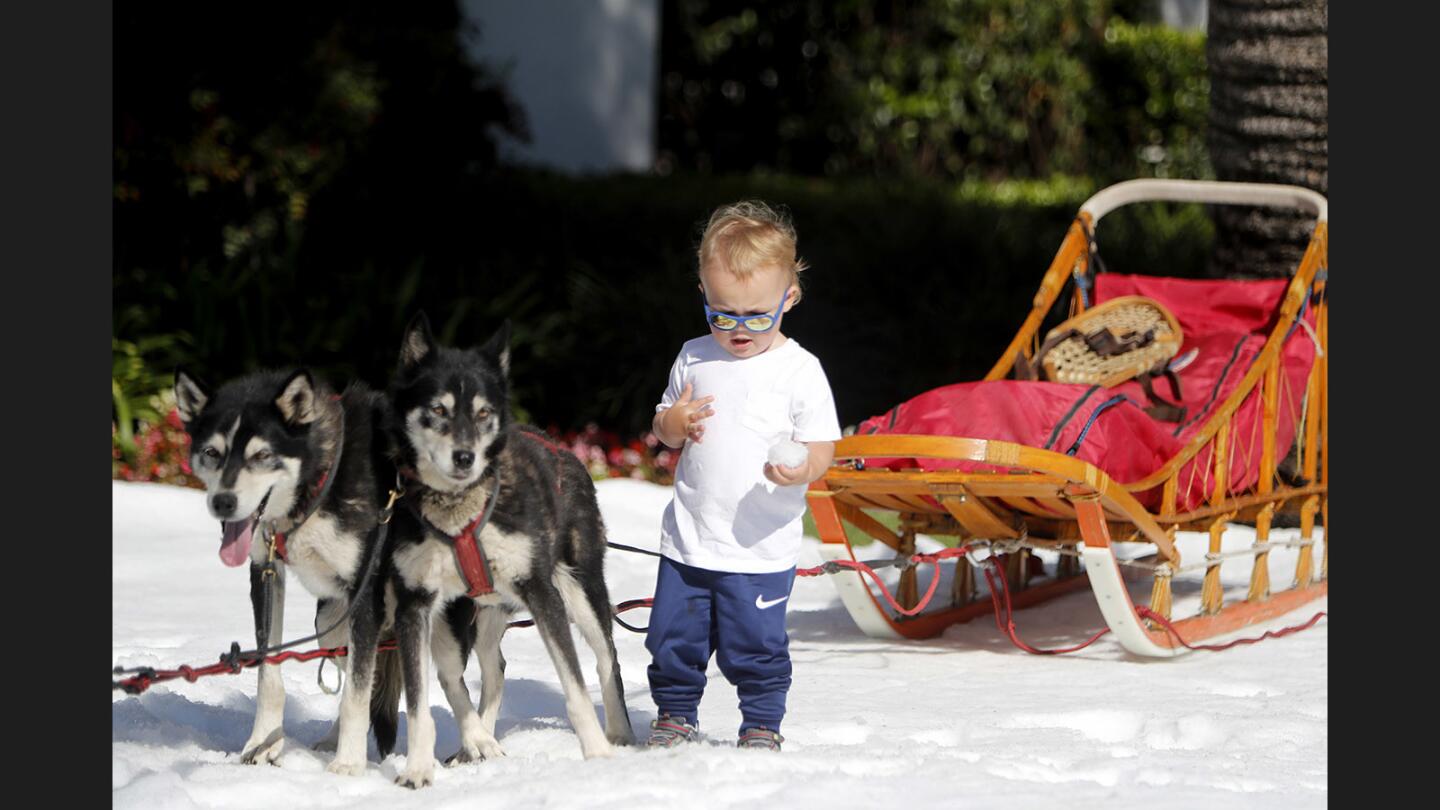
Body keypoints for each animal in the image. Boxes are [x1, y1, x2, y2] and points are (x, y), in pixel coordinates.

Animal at [178, 366, 406, 766]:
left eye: (262, 455)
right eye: (212, 452)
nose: (223, 502)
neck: (319, 482)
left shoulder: (366, 595)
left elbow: (357, 693)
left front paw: (349, 765)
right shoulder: (266, 572)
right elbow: (269, 674)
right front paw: (262, 744)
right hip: (331, 621)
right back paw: (331, 741)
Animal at [385, 312, 633, 784]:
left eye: (483, 413)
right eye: (438, 410)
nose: (464, 457)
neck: (460, 513)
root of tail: (564, 450)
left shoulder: (541, 591)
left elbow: (576, 688)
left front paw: (597, 755)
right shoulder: (415, 605)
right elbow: (420, 704)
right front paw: (417, 770)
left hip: (581, 592)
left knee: (606, 659)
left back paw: (618, 734)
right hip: (464, 618)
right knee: (477, 673)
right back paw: (478, 740)